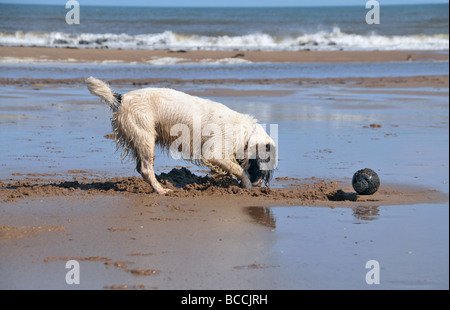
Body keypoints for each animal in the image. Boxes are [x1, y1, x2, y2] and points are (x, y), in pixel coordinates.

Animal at [84, 77, 274, 194]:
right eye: (260, 169)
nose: (259, 185)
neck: (248, 133)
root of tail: (122, 98)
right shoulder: (214, 152)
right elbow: (238, 169)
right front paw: (247, 185)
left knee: (141, 168)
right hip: (146, 137)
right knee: (146, 169)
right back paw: (161, 190)